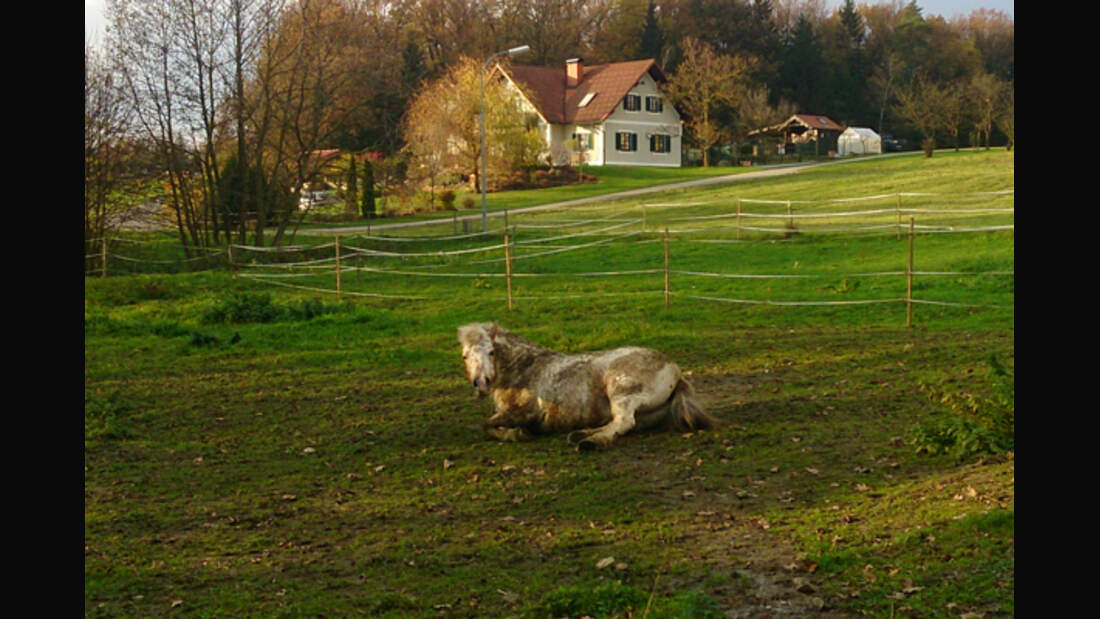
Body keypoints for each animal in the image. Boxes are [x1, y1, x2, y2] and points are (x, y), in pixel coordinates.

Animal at [453, 325, 717, 450]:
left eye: (491, 351)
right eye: (465, 356)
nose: (481, 383)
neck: (524, 367)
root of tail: (675, 370)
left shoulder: (524, 412)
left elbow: (486, 425)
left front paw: (516, 434)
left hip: (620, 390)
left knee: (623, 422)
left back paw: (590, 442)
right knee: (620, 424)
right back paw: (581, 434)